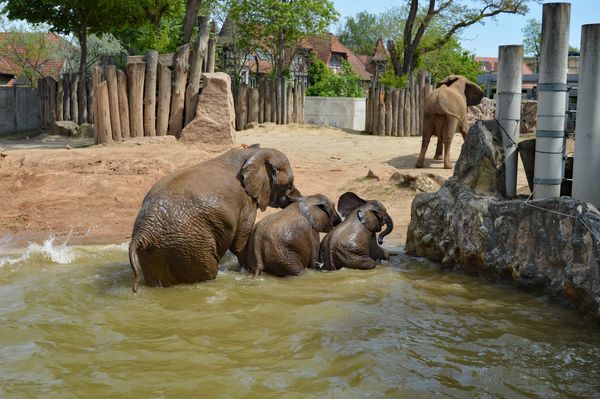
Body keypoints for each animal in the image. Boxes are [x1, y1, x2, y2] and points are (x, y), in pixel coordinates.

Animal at [131, 146, 300, 290]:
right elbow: (240, 243)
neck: (252, 152)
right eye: (289, 184)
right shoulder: (246, 201)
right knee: (207, 272)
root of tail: (143, 232)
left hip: (159, 251)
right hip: (190, 244)